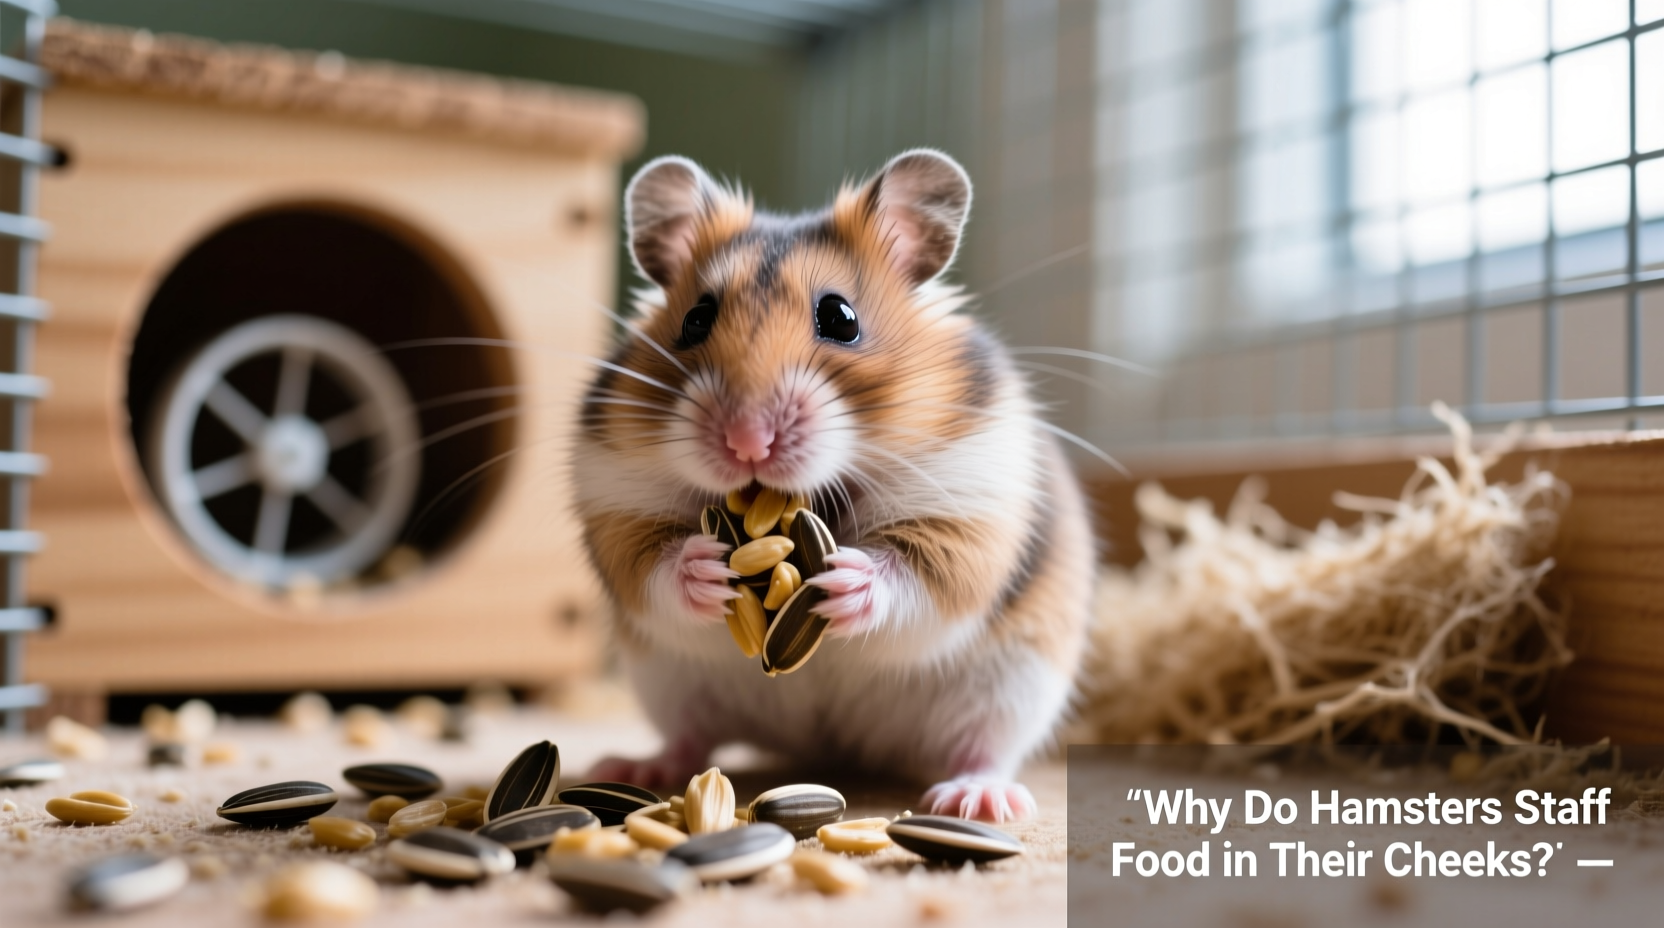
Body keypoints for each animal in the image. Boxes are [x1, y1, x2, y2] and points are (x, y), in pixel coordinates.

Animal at [571, 149, 1094, 822]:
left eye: (841, 318)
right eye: (694, 319)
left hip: (1014, 685)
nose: (746, 442)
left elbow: (917, 574)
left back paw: (979, 801)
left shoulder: (969, 509)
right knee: (691, 737)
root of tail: (834, 745)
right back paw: (630, 767)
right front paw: (708, 567)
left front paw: (840, 578)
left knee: (983, 748)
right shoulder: (616, 502)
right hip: (668, 683)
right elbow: (652, 567)